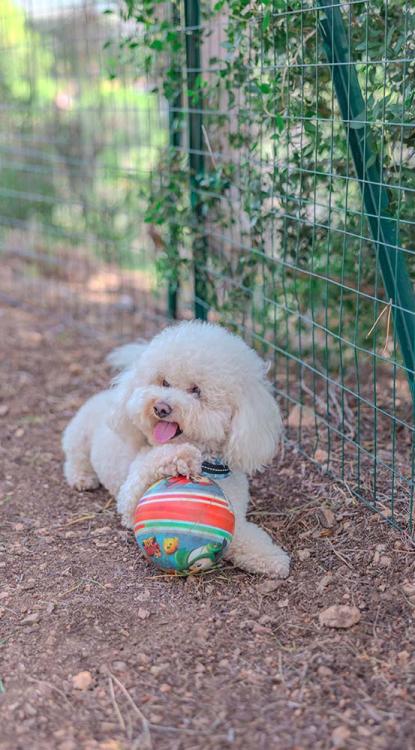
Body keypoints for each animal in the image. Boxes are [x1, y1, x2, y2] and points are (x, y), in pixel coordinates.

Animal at [61, 320, 290, 580]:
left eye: (196, 390)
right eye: (164, 382)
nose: (161, 407)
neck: (206, 464)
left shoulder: (234, 513)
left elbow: (244, 535)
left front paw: (271, 557)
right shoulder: (130, 500)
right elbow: (154, 462)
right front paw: (180, 455)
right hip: (79, 433)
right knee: (75, 458)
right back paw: (82, 477)